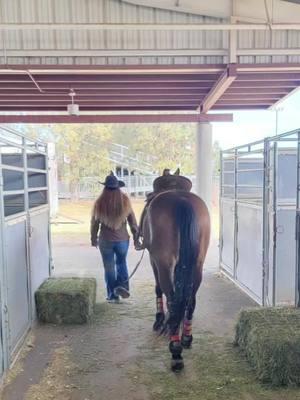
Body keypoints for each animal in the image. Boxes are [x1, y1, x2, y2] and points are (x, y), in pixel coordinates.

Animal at [138, 169, 210, 372]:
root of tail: (181, 200)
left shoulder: (154, 260)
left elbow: (158, 288)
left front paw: (159, 320)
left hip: (164, 263)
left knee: (173, 300)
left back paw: (176, 351)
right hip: (197, 264)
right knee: (190, 300)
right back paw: (185, 337)